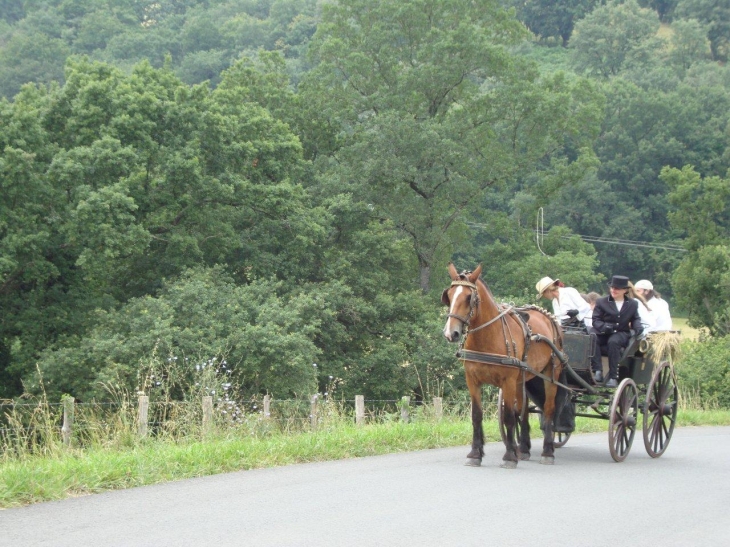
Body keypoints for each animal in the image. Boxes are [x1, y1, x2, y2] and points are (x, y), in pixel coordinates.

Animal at [438, 264, 564, 468]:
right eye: (448, 296)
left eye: (468, 297)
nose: (451, 333)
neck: (488, 337)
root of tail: (550, 319)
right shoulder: (472, 380)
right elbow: (477, 415)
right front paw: (475, 453)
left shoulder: (507, 381)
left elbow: (508, 416)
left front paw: (510, 456)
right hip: (523, 379)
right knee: (524, 411)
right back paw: (524, 448)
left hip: (551, 374)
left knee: (548, 409)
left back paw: (547, 451)